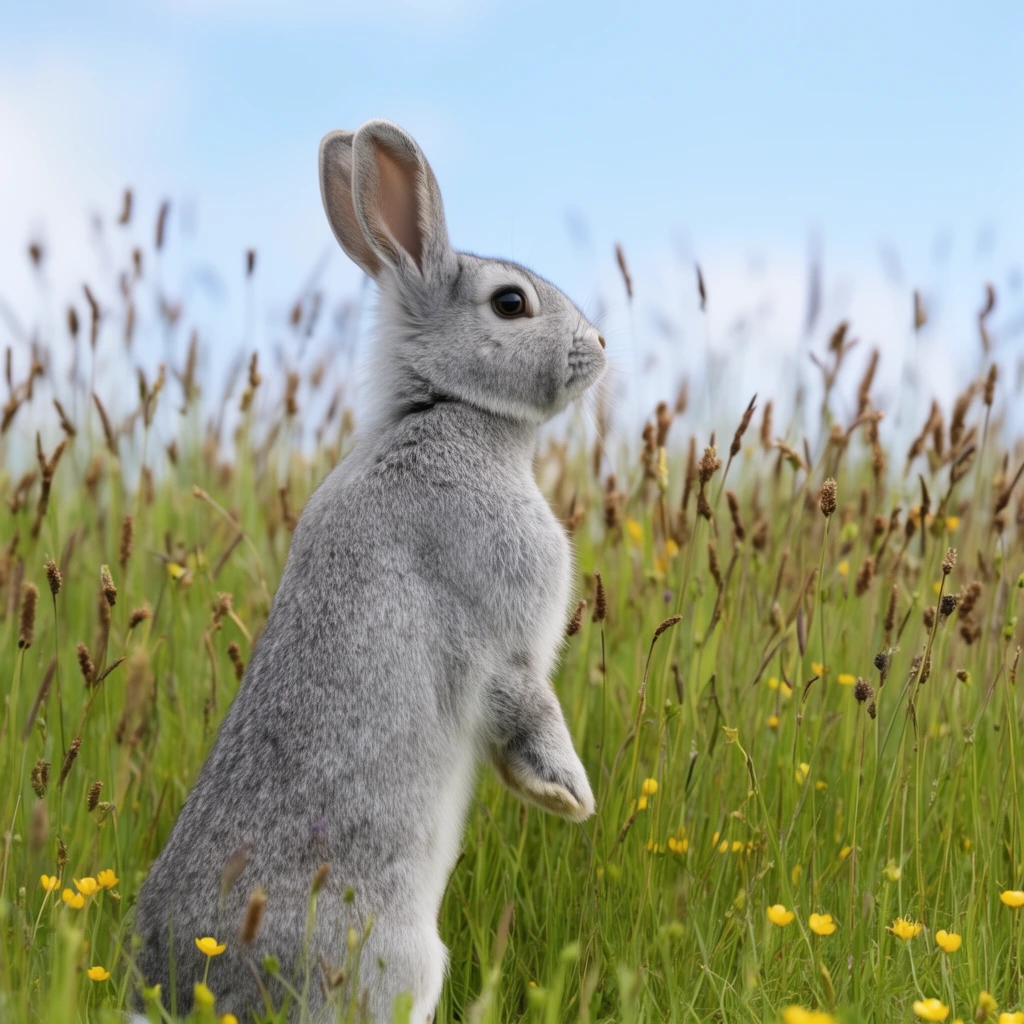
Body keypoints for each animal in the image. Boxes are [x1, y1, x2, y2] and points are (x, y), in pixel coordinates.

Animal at [132, 119, 606, 1024]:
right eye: (510, 303)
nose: (600, 346)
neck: (448, 411)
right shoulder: (502, 630)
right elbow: (529, 710)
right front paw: (569, 797)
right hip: (400, 961)